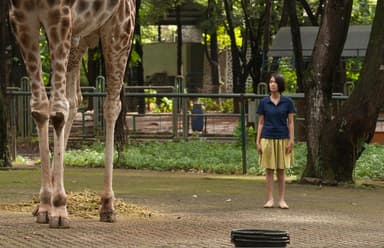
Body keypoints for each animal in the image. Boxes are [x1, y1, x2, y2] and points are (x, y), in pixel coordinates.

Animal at [8, 0, 136, 229]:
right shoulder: (22, 20)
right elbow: (40, 108)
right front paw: (45, 205)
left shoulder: (60, 17)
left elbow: (58, 111)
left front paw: (59, 208)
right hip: (79, 38)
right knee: (75, 99)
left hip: (120, 31)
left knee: (111, 105)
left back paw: (107, 206)